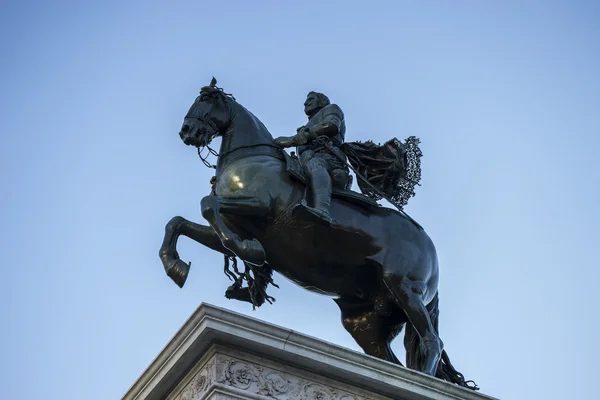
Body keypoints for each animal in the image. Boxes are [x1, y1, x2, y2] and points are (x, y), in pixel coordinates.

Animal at [159, 79, 478, 390]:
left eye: (205, 100)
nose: (187, 131)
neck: (253, 157)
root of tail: (430, 247)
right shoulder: (229, 223)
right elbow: (179, 223)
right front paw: (176, 266)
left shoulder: (260, 205)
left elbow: (207, 205)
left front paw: (251, 251)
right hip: (365, 319)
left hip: (405, 289)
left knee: (432, 341)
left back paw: (423, 380)